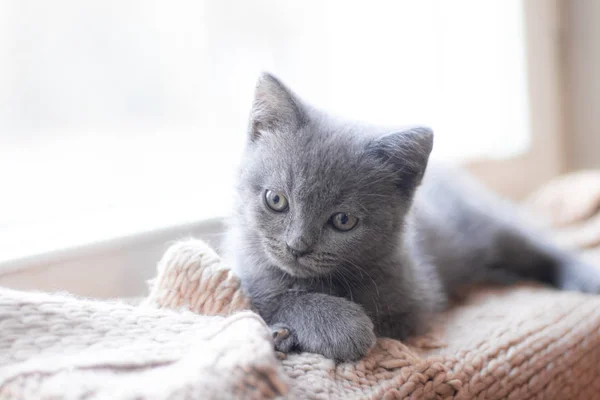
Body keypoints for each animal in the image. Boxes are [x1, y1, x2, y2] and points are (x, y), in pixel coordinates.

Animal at [225, 72, 600, 362]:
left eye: (343, 221)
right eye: (276, 200)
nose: (297, 247)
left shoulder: (414, 300)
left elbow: (380, 320)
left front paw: (340, 327)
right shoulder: (249, 276)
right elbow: (270, 300)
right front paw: (316, 327)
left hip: (490, 222)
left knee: (542, 245)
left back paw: (584, 277)